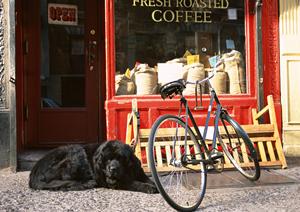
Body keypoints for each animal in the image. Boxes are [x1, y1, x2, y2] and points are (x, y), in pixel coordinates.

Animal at [29, 140, 158, 193]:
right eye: (108, 159)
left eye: (120, 158)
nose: (113, 169)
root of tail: (35, 170)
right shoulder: (113, 181)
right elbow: (133, 183)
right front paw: (148, 187)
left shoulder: (137, 171)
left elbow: (148, 179)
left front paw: (154, 184)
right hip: (75, 153)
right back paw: (87, 183)